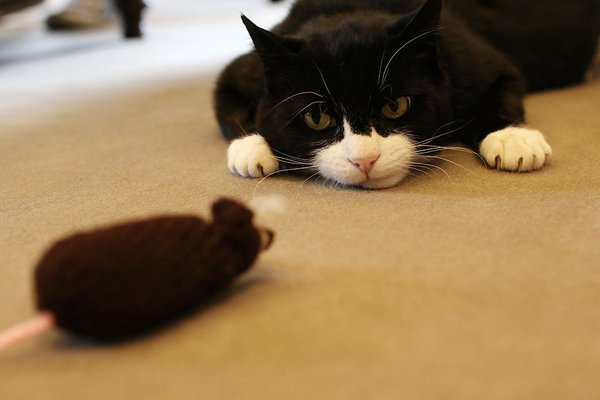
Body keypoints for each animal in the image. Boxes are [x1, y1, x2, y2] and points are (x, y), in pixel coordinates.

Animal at [213, 0, 596, 189]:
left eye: (395, 106)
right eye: (317, 116)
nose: (365, 160)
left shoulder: (474, 57)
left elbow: (505, 84)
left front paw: (513, 139)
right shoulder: (240, 73)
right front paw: (253, 148)